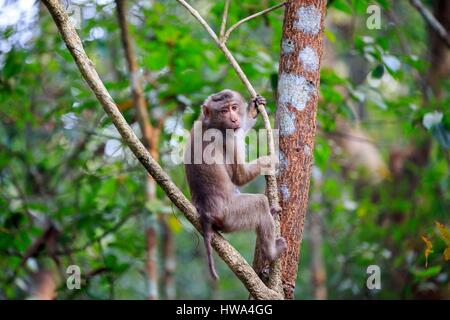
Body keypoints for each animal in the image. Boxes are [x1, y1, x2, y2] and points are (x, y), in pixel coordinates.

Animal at [185, 89, 286, 278]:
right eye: (224, 111)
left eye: (233, 107)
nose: (234, 119)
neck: (210, 123)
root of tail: (205, 211)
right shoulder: (228, 139)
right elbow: (240, 176)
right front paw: (270, 159)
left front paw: (253, 109)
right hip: (231, 214)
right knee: (259, 203)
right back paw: (272, 252)